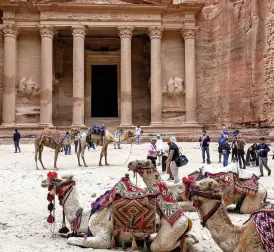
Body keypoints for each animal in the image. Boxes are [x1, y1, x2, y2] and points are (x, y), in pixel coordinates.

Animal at [40, 172, 197, 251]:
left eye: (56, 179)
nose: (42, 181)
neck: (85, 216)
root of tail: (185, 217)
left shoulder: (102, 236)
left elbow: (72, 239)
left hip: (173, 226)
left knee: (157, 246)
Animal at [128, 160, 268, 214]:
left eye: (143, 162)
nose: (130, 163)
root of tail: (264, 188)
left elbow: (182, 205)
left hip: (255, 196)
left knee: (247, 209)